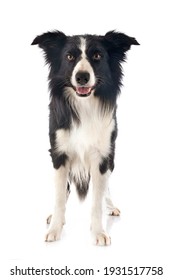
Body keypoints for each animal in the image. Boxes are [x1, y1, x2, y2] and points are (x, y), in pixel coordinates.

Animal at [31, 30, 139, 245]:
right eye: (69, 57)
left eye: (97, 55)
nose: (82, 77)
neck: (84, 105)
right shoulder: (59, 154)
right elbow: (59, 197)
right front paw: (55, 227)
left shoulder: (102, 156)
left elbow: (97, 200)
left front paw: (99, 232)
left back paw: (110, 206)